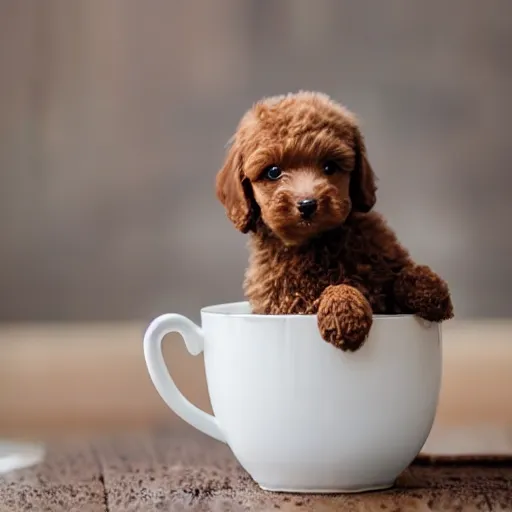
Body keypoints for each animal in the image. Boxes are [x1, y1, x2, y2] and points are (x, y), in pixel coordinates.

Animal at [214, 92, 454, 350]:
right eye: (273, 172)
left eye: (330, 166)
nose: (307, 204)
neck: (318, 242)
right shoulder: (293, 300)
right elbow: (335, 287)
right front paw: (346, 316)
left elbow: (402, 272)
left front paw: (430, 290)